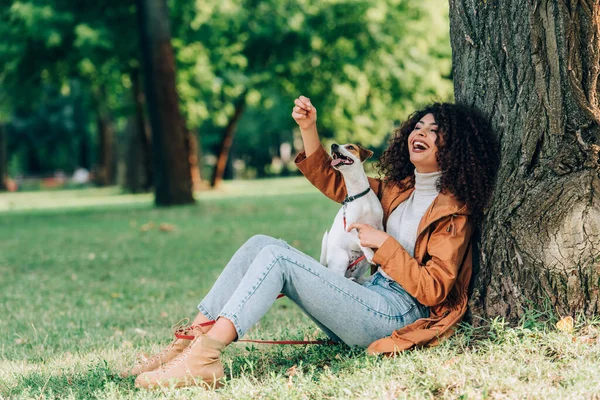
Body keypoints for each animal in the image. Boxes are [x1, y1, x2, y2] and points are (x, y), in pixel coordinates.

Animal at [318, 143, 384, 282]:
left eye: (350, 147)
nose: (333, 145)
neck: (359, 195)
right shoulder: (349, 227)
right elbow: (360, 239)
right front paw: (370, 253)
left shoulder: (379, 225)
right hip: (342, 257)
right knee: (339, 276)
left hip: (363, 264)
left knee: (358, 279)